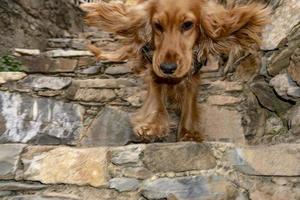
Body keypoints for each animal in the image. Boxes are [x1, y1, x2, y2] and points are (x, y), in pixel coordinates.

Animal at [80, 0, 270, 142]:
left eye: (187, 25)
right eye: (157, 25)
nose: (168, 68)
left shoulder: (193, 70)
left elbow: (189, 99)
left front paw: (189, 132)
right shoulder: (154, 65)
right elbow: (156, 95)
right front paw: (152, 125)